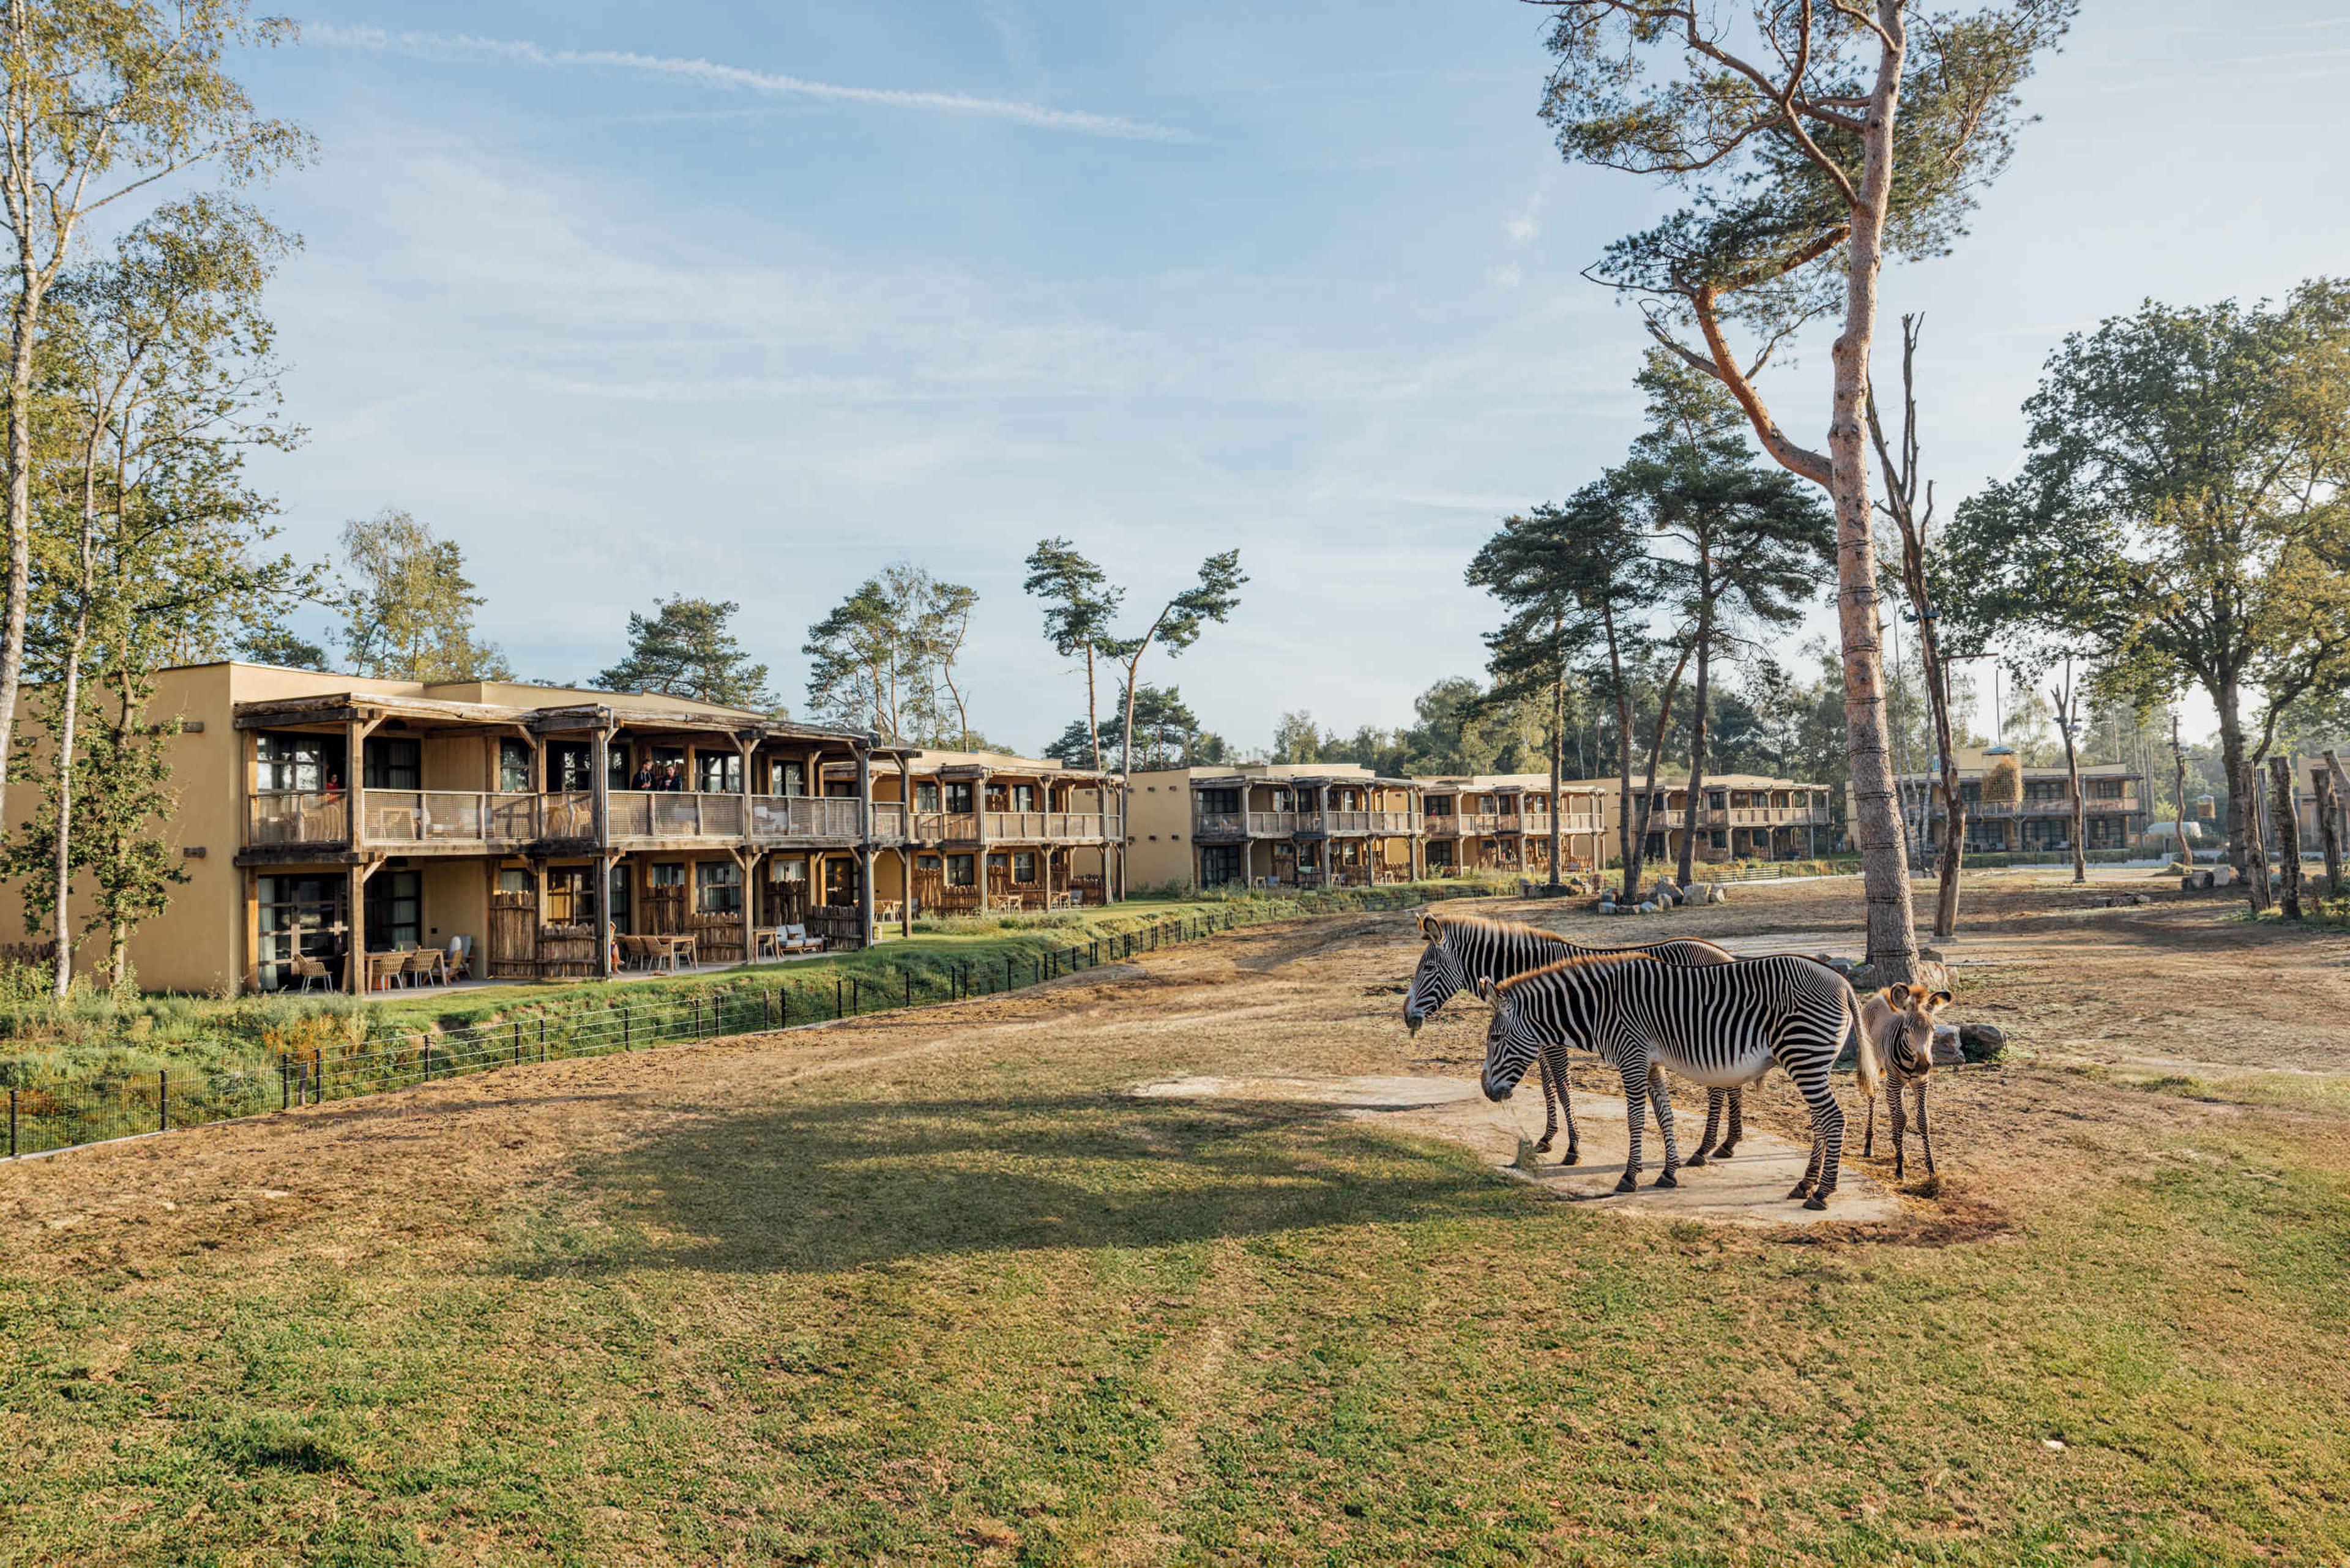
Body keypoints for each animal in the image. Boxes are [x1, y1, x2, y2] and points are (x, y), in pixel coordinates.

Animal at [1402, 911, 1750, 1166]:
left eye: (1428, 968)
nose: (1407, 1015)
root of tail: (1724, 955)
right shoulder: (1538, 1042)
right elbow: (1547, 1088)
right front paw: (1547, 1138)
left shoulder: (1553, 1043)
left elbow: (1563, 1086)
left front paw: (1573, 1148)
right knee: (1731, 1083)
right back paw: (1728, 1143)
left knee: (1718, 1089)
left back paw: (1703, 1150)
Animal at [1475, 951, 1863, 1209]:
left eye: (1494, 1038)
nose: (1486, 1089)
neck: (1600, 1009)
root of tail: (1843, 983)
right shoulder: (1651, 1063)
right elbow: (1665, 1115)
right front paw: (1669, 1173)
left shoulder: (1632, 1058)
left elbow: (1636, 1120)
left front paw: (1630, 1177)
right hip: (1811, 1062)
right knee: (1820, 1121)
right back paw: (1805, 1184)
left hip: (1804, 1055)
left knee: (1833, 1119)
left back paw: (1822, 1193)